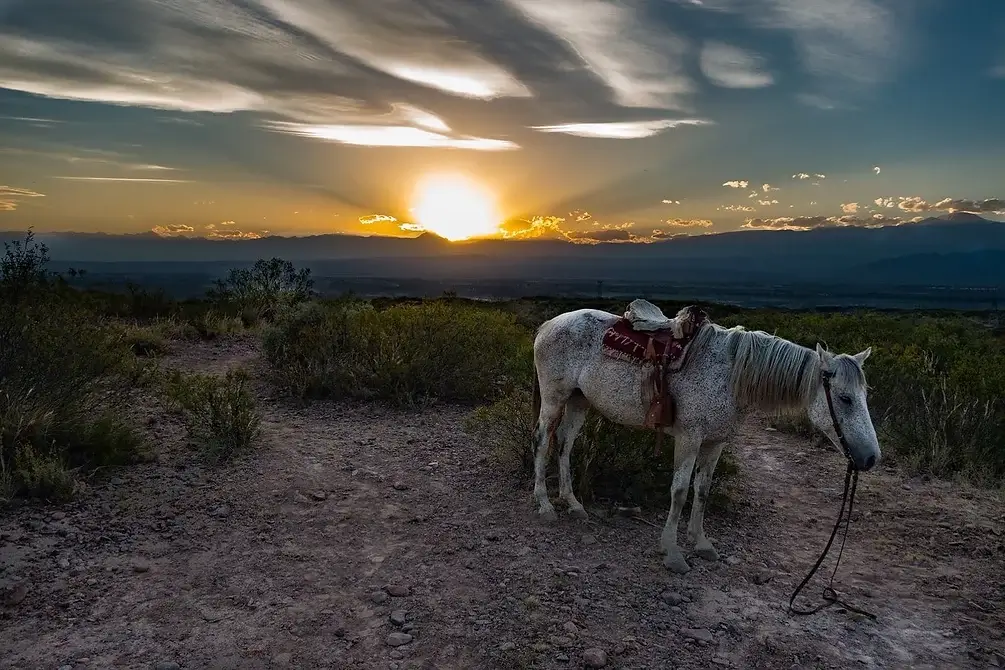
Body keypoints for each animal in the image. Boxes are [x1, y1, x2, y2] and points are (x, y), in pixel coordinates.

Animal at [530, 307, 876, 574]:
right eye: (845, 398)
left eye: (865, 395)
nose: (871, 457)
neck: (731, 373)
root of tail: (549, 324)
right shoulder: (689, 438)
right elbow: (680, 491)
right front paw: (672, 552)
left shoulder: (714, 442)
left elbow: (703, 490)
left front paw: (701, 542)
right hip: (554, 398)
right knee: (543, 441)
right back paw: (545, 505)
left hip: (579, 401)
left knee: (566, 443)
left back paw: (573, 503)